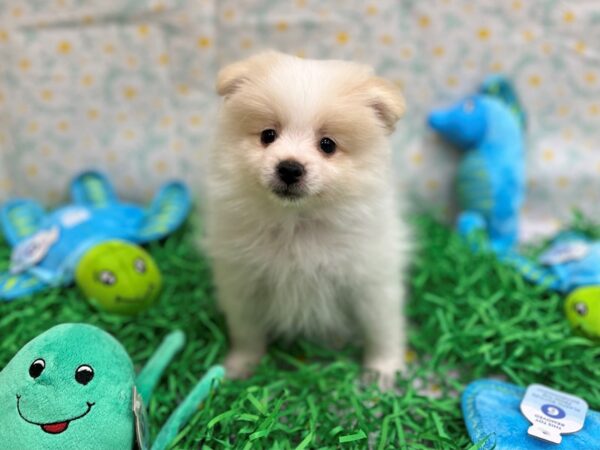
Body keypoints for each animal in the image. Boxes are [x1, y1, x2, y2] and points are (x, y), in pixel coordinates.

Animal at [205, 48, 408, 386]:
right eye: (268, 135)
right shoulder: (244, 282)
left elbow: (382, 328)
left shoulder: (370, 280)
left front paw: (383, 371)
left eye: (328, 145)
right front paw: (241, 365)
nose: (289, 167)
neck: (296, 223)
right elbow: (247, 331)